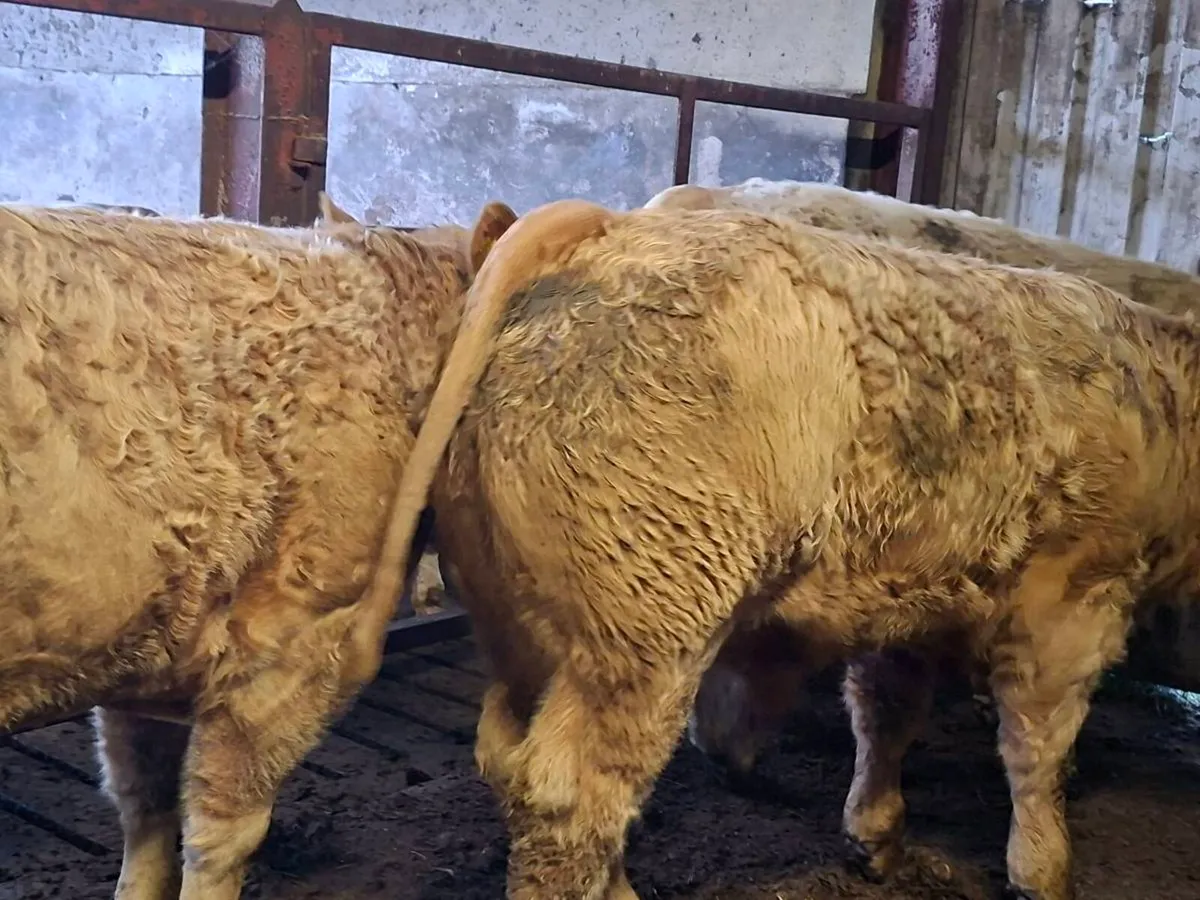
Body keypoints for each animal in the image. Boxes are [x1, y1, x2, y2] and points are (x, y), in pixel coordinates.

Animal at [376, 198, 1200, 900]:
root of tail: (606, 229)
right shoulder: (1077, 594)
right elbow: (1037, 749)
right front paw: (1043, 871)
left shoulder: (908, 602)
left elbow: (886, 716)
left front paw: (878, 838)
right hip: (640, 638)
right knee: (571, 803)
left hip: (521, 632)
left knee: (511, 762)